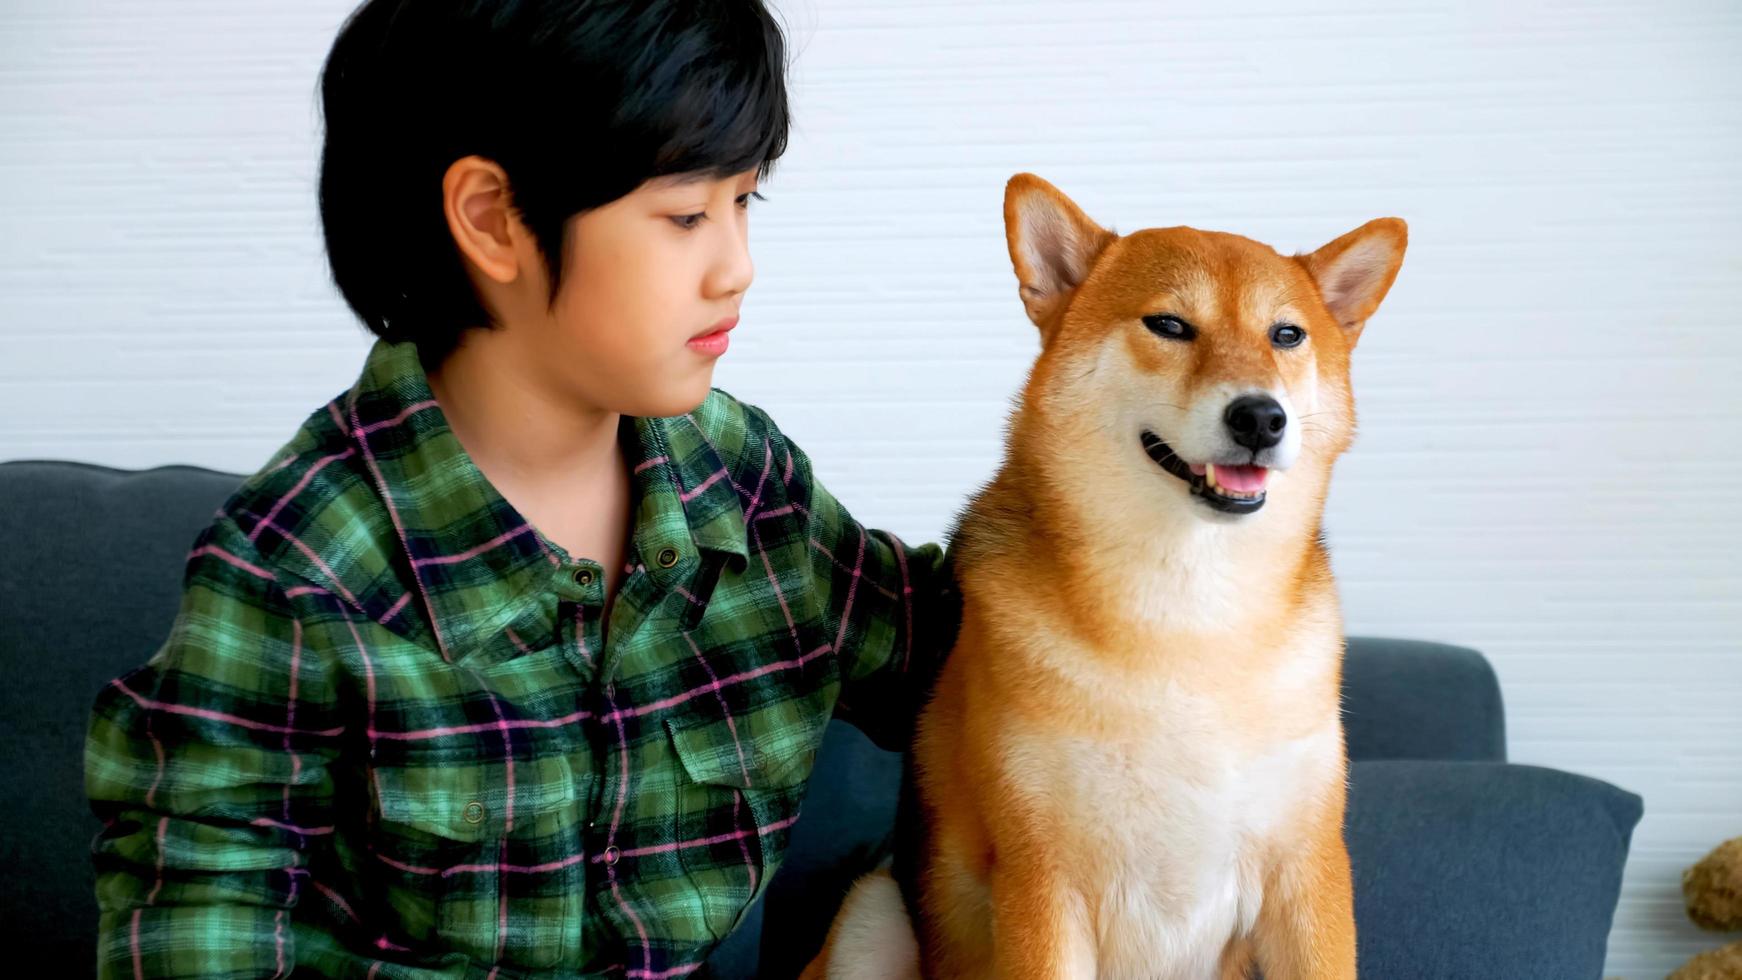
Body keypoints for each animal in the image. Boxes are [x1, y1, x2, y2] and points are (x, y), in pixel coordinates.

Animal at [797, 172, 1400, 974]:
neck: (1189, 614)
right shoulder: (1044, 878)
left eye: (1287, 335)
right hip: (875, 912)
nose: (1260, 417)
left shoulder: (1309, 870)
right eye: (1170, 326)